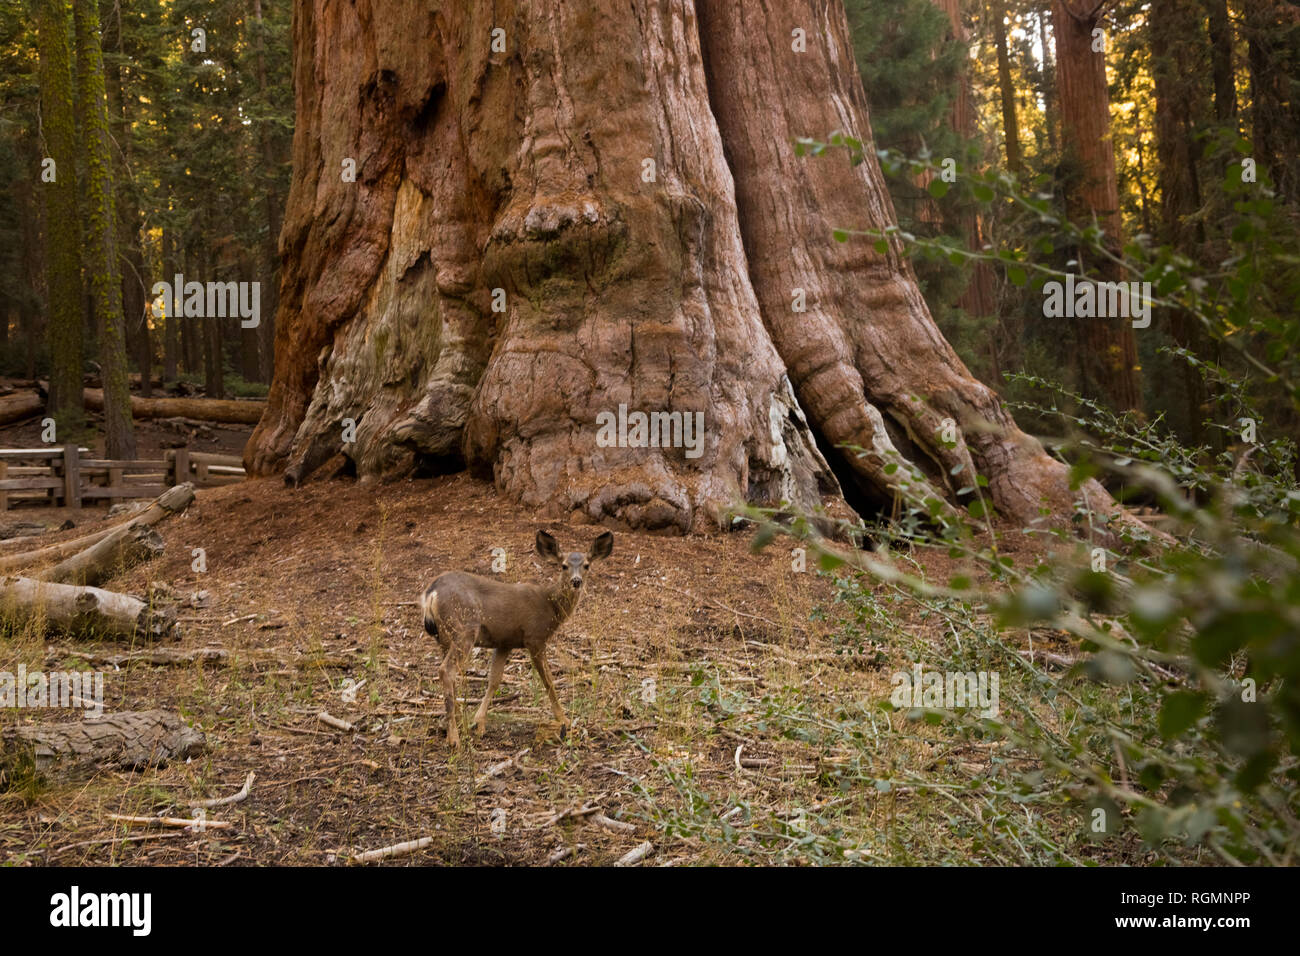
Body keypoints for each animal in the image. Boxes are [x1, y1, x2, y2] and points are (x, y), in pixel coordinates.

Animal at [421, 530, 613, 749]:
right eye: (563, 565)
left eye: (586, 565)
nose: (576, 581)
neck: (551, 607)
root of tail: (431, 593)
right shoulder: (535, 637)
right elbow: (548, 680)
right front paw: (564, 719)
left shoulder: (505, 642)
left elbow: (494, 680)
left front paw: (479, 723)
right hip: (465, 629)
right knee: (446, 670)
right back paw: (454, 738)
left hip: (444, 637)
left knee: (450, 673)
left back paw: (456, 724)